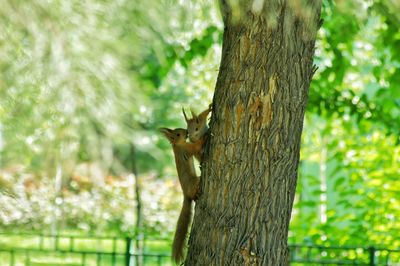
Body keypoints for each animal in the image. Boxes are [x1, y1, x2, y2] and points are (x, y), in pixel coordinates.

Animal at [159, 127, 203, 264]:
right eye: (178, 134)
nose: (187, 132)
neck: (177, 145)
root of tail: (185, 194)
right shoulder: (187, 149)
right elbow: (196, 147)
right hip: (194, 182)